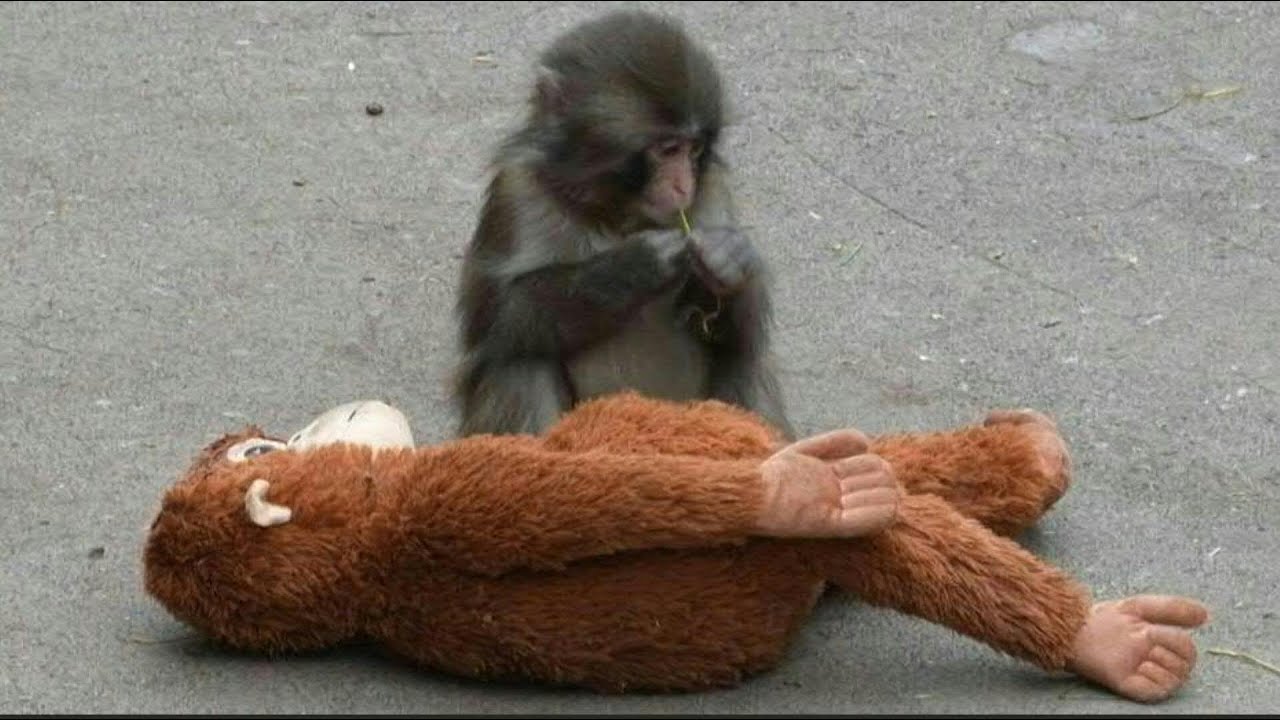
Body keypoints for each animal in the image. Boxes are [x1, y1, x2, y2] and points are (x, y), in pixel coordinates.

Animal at [452, 10, 794, 440]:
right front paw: (630, 268)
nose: (683, 185)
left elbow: (740, 337)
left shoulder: (712, 187)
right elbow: (494, 322)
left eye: (695, 149)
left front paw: (728, 260)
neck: (616, 212)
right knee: (520, 362)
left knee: (742, 361)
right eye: (668, 149)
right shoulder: (515, 190)